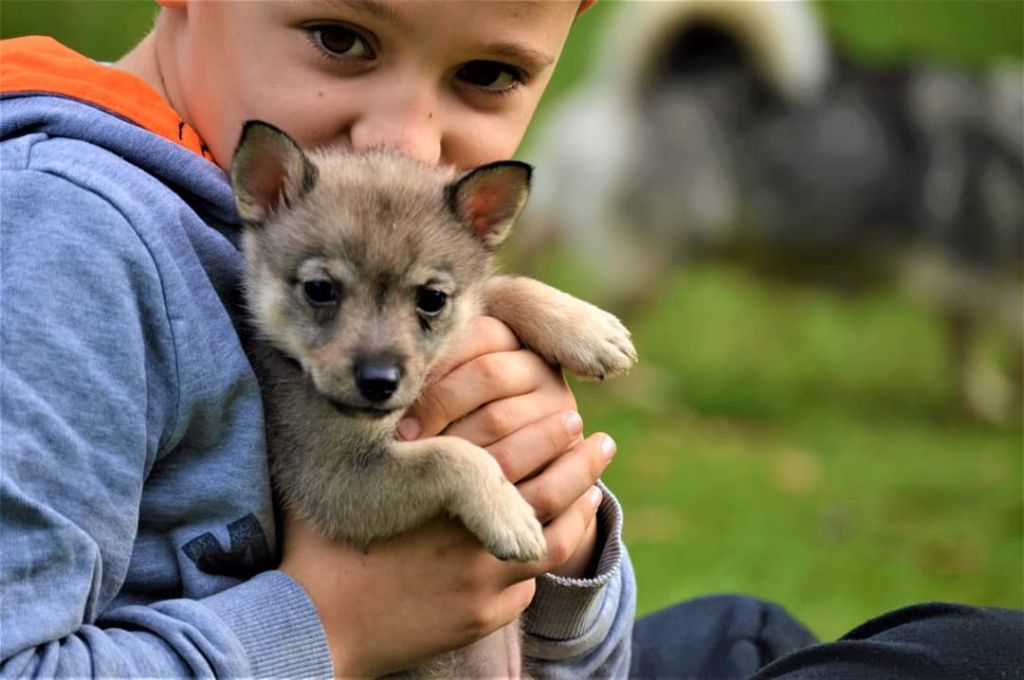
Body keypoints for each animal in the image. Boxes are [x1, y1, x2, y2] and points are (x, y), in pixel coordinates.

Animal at [229, 121, 637, 678]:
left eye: (432, 299)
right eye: (319, 290)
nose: (378, 381)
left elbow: (501, 286)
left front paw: (585, 328)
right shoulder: (338, 484)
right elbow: (451, 455)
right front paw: (509, 513)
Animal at [521, 0, 1022, 423]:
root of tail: (640, 89)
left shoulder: (970, 282)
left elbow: (965, 344)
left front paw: (980, 401)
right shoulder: (984, 275)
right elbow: (975, 339)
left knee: (539, 238)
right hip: (659, 255)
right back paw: (630, 386)